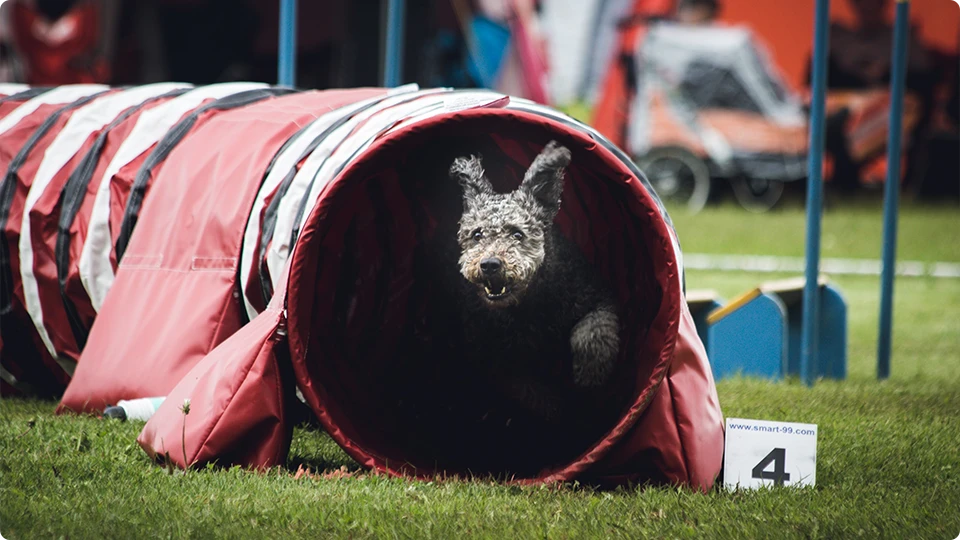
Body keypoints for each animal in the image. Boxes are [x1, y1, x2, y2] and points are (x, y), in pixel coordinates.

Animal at [452, 140, 624, 426]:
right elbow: (528, 390)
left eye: (517, 234)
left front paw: (589, 376)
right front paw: (557, 408)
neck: (528, 305)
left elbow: (592, 332)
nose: (490, 264)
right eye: (477, 234)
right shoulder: (496, 357)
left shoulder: (597, 298)